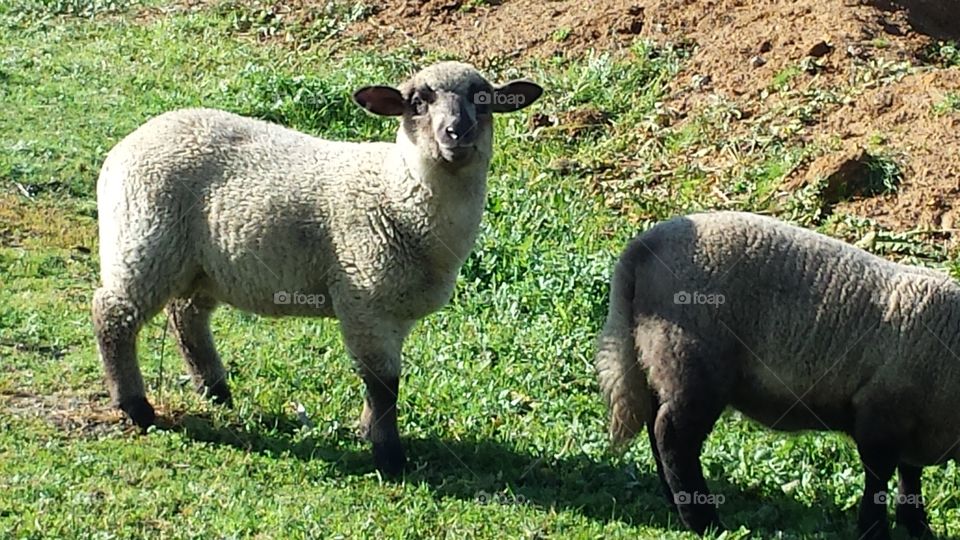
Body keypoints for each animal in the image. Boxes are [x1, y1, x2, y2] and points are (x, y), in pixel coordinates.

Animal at [93, 61, 542, 475]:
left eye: (482, 100)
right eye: (417, 103)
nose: (457, 133)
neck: (397, 191)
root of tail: (128, 144)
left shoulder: (394, 310)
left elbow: (386, 385)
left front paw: (370, 433)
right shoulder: (364, 298)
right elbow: (383, 385)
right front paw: (389, 457)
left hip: (201, 264)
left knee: (186, 315)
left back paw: (216, 391)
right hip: (143, 239)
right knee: (113, 315)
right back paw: (136, 407)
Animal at [596, 210, 960, 540]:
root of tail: (644, 246)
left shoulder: (914, 423)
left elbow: (909, 476)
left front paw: (917, 526)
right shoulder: (880, 412)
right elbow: (879, 476)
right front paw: (874, 530)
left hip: (660, 360)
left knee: (656, 424)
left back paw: (678, 505)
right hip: (693, 360)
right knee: (673, 436)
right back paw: (705, 521)